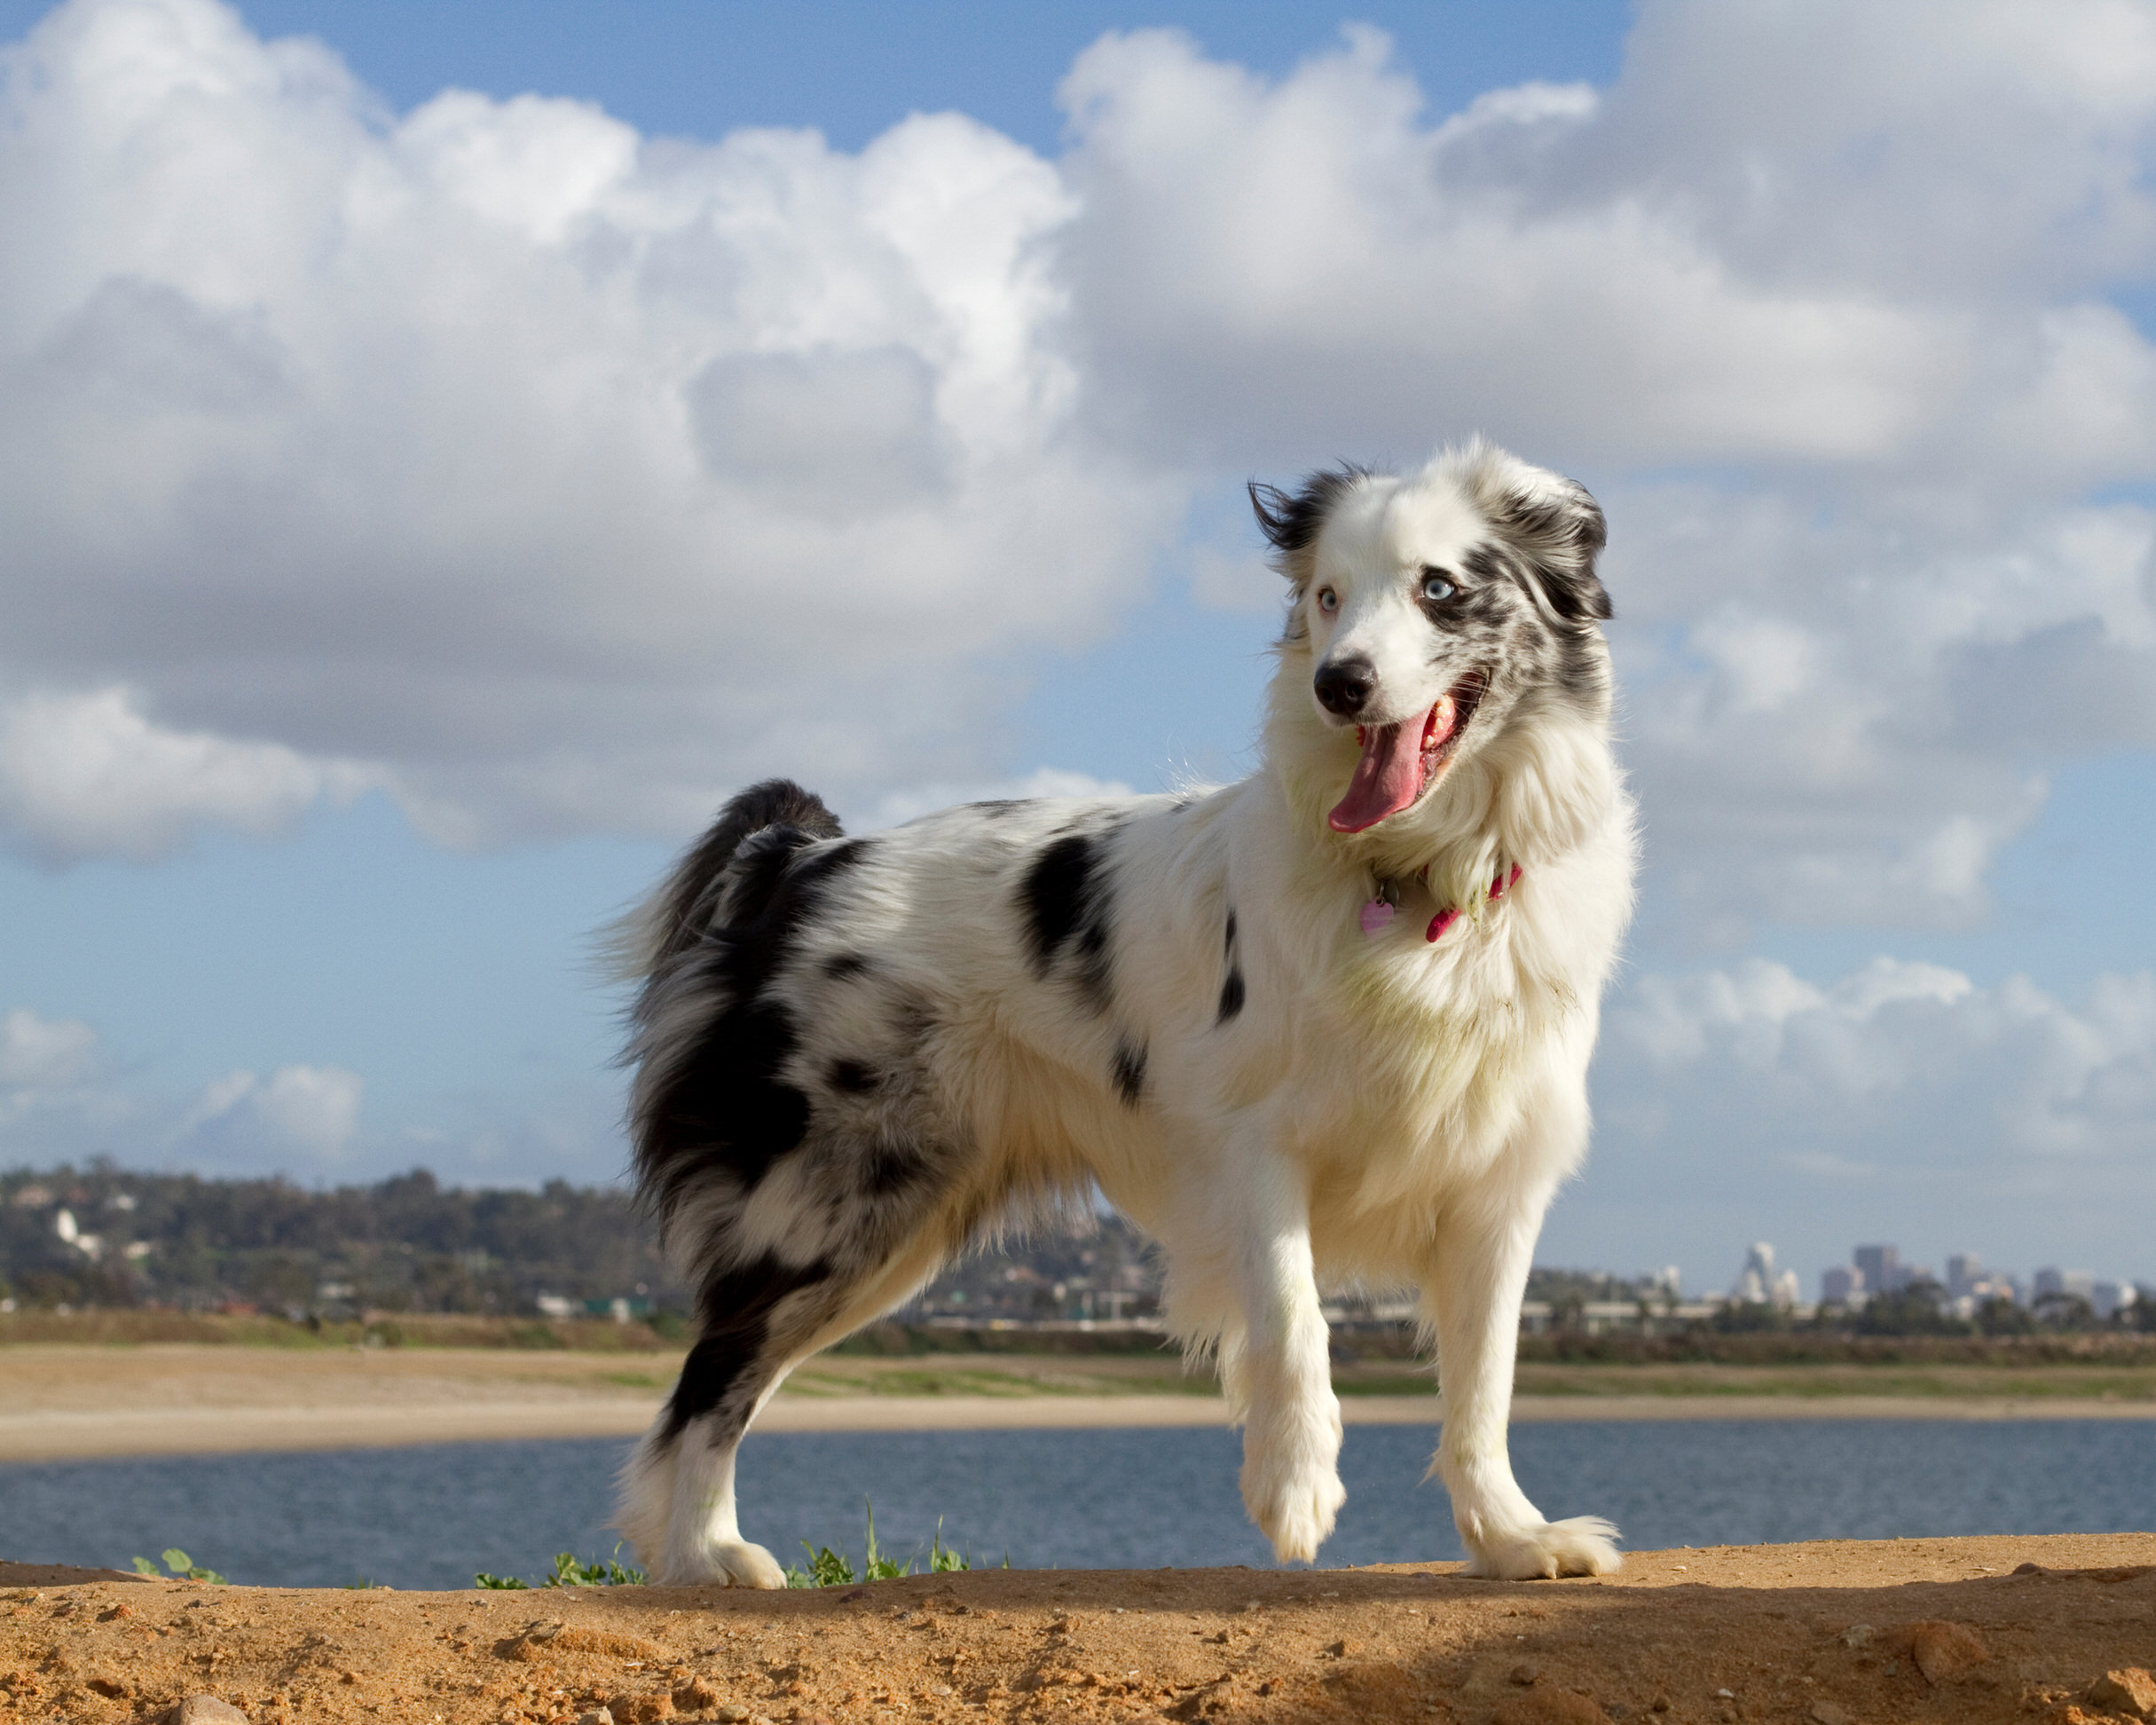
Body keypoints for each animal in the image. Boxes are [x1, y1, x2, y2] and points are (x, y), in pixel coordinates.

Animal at [620, 437, 1630, 1587]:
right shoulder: (1253, 1148)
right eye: (1327, 597)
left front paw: (1510, 1537)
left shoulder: (1496, 1184)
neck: (1425, 885)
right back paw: (704, 1554)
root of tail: (801, 861)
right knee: (711, 1380)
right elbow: (1295, 1324)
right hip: (830, 1202)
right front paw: (1295, 1491)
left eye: (1439, 589)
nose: (1338, 685)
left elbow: (1484, 1384)